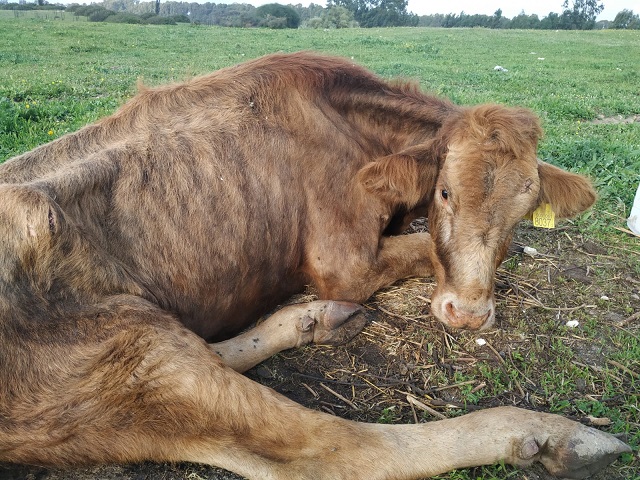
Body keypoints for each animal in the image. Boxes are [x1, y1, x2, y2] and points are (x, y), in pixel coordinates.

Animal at [0, 50, 632, 478]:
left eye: (525, 209)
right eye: (445, 192)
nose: (469, 314)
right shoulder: (344, 263)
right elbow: (424, 250)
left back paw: (314, 320)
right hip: (132, 350)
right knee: (339, 449)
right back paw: (555, 437)